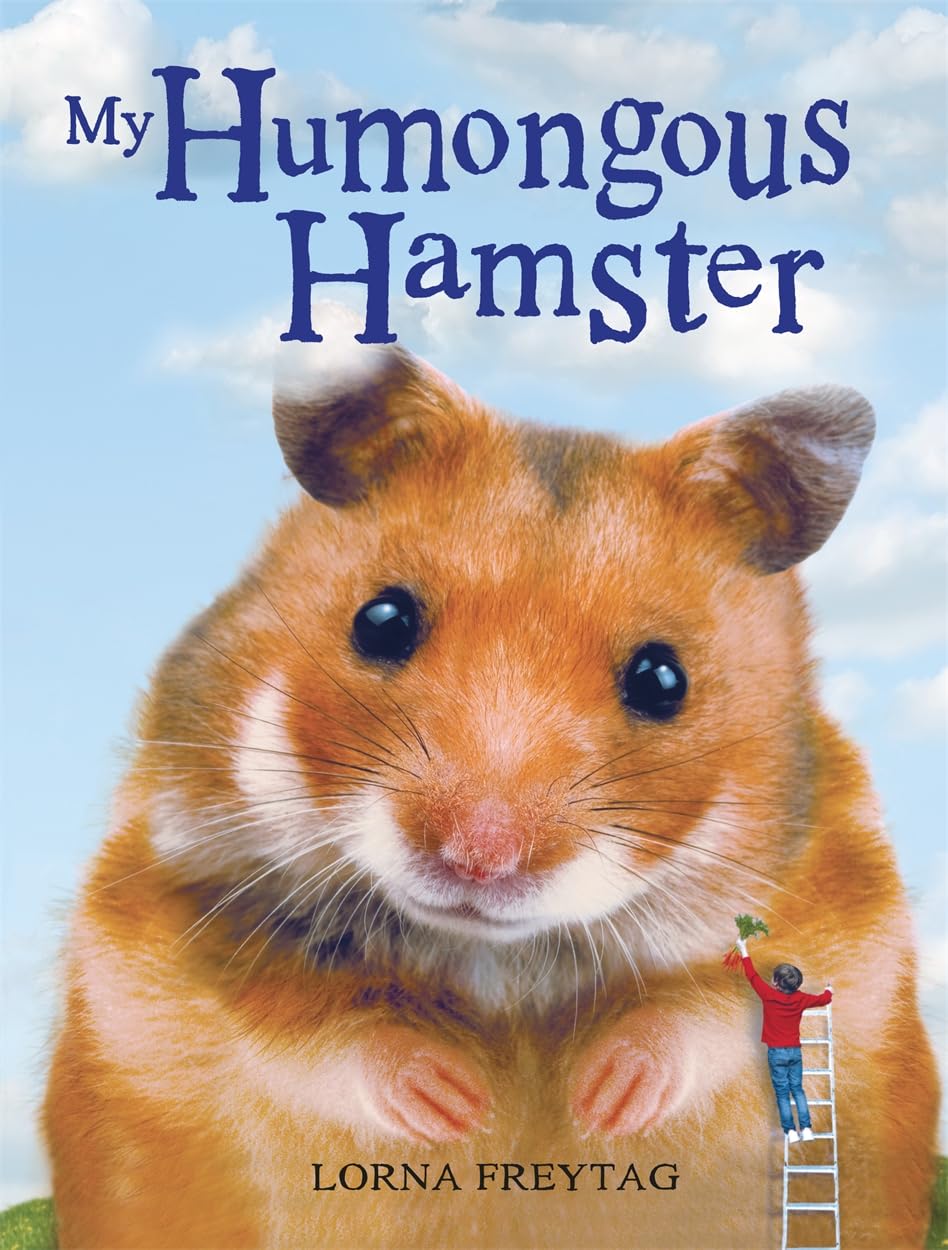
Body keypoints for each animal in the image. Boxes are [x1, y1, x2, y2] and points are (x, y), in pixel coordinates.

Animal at [44, 349, 938, 1250]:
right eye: (382, 620)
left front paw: (599, 1103)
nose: (477, 859)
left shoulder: (847, 918)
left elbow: (708, 1011)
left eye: (662, 679)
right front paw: (459, 1107)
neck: (497, 960)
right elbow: (311, 1020)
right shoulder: (177, 912)